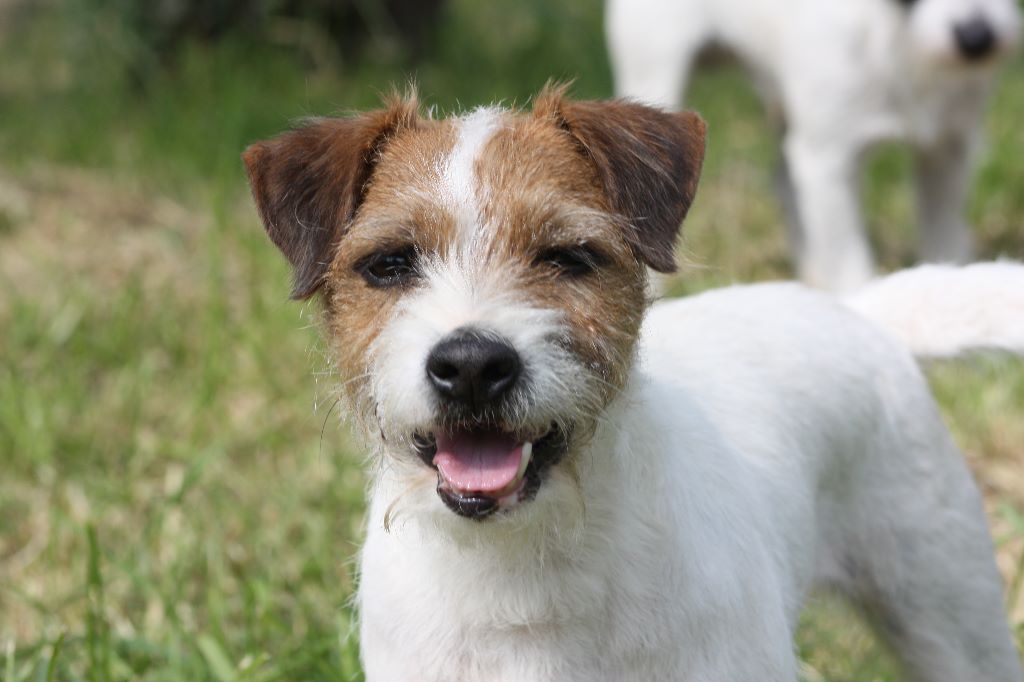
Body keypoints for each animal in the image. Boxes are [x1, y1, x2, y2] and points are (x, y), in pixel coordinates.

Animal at [241, 87, 1024, 675]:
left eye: (568, 257)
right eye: (390, 264)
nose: (471, 366)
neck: (523, 567)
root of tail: (859, 312)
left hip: (952, 618)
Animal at [602, 0, 1019, 290]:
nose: (976, 38)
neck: (896, 39)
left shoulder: (948, 150)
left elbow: (943, 234)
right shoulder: (828, 159)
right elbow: (848, 256)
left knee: (783, 180)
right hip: (656, 65)